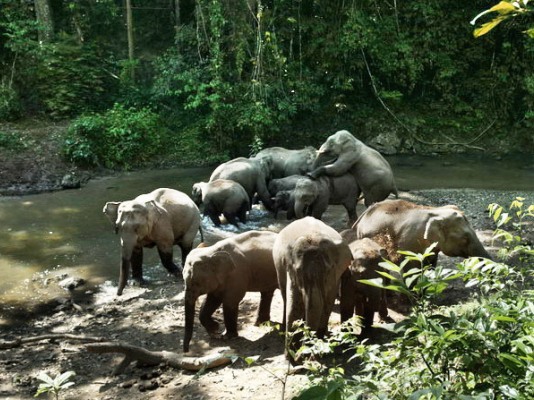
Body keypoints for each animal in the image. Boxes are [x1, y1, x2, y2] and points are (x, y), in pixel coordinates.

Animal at [274, 217, 354, 364]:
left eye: (327, 271)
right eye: (299, 271)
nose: (300, 356)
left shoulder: (334, 276)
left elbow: (326, 304)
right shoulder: (290, 272)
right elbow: (293, 305)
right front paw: (289, 359)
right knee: (284, 296)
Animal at [352, 198, 494, 268]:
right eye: (465, 238)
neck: (436, 211)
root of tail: (365, 212)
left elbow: (430, 264)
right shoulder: (409, 243)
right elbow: (411, 267)